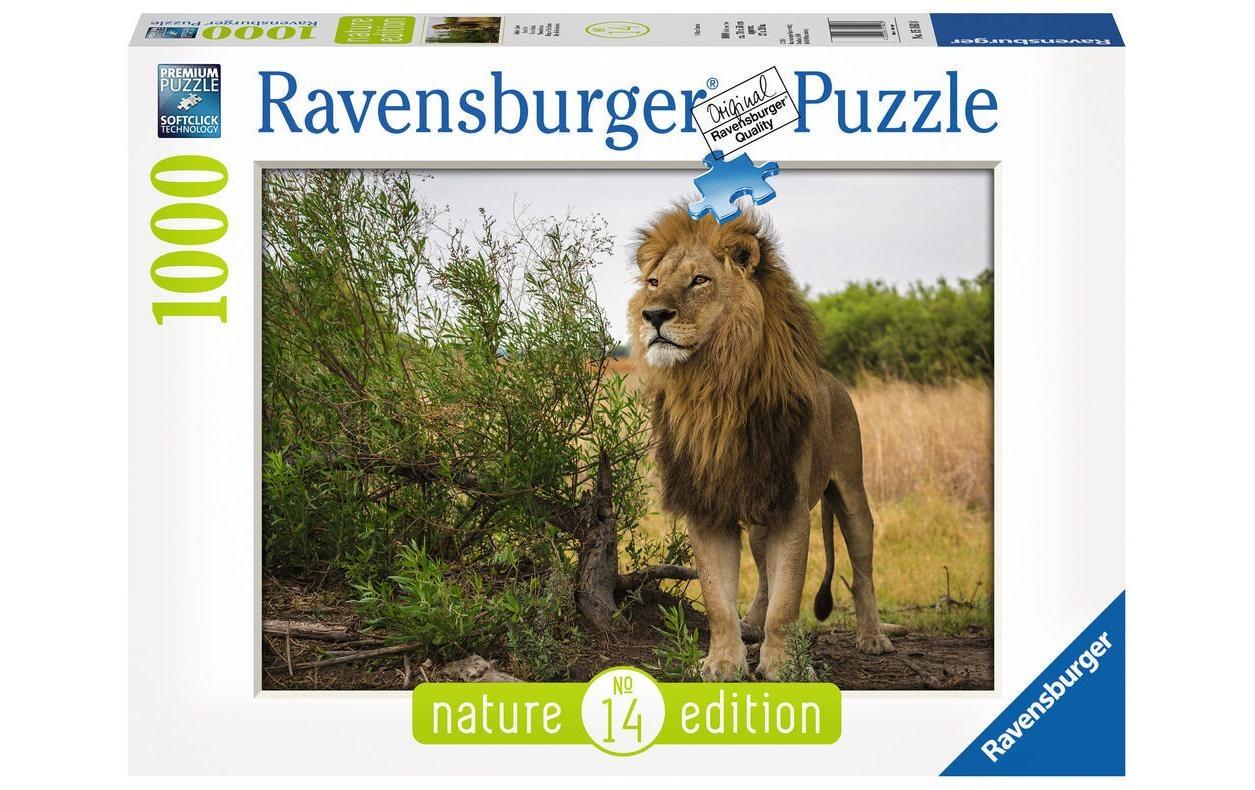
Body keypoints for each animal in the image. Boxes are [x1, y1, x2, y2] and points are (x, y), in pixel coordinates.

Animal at [628, 205, 894, 681]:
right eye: (654, 283)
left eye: (700, 280)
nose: (653, 315)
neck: (713, 386)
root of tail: (833, 380)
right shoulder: (708, 505)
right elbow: (718, 599)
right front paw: (722, 663)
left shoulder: (791, 509)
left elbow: (788, 600)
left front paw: (784, 667)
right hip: (757, 518)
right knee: (765, 574)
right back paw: (752, 622)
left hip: (851, 491)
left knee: (862, 567)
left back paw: (872, 637)